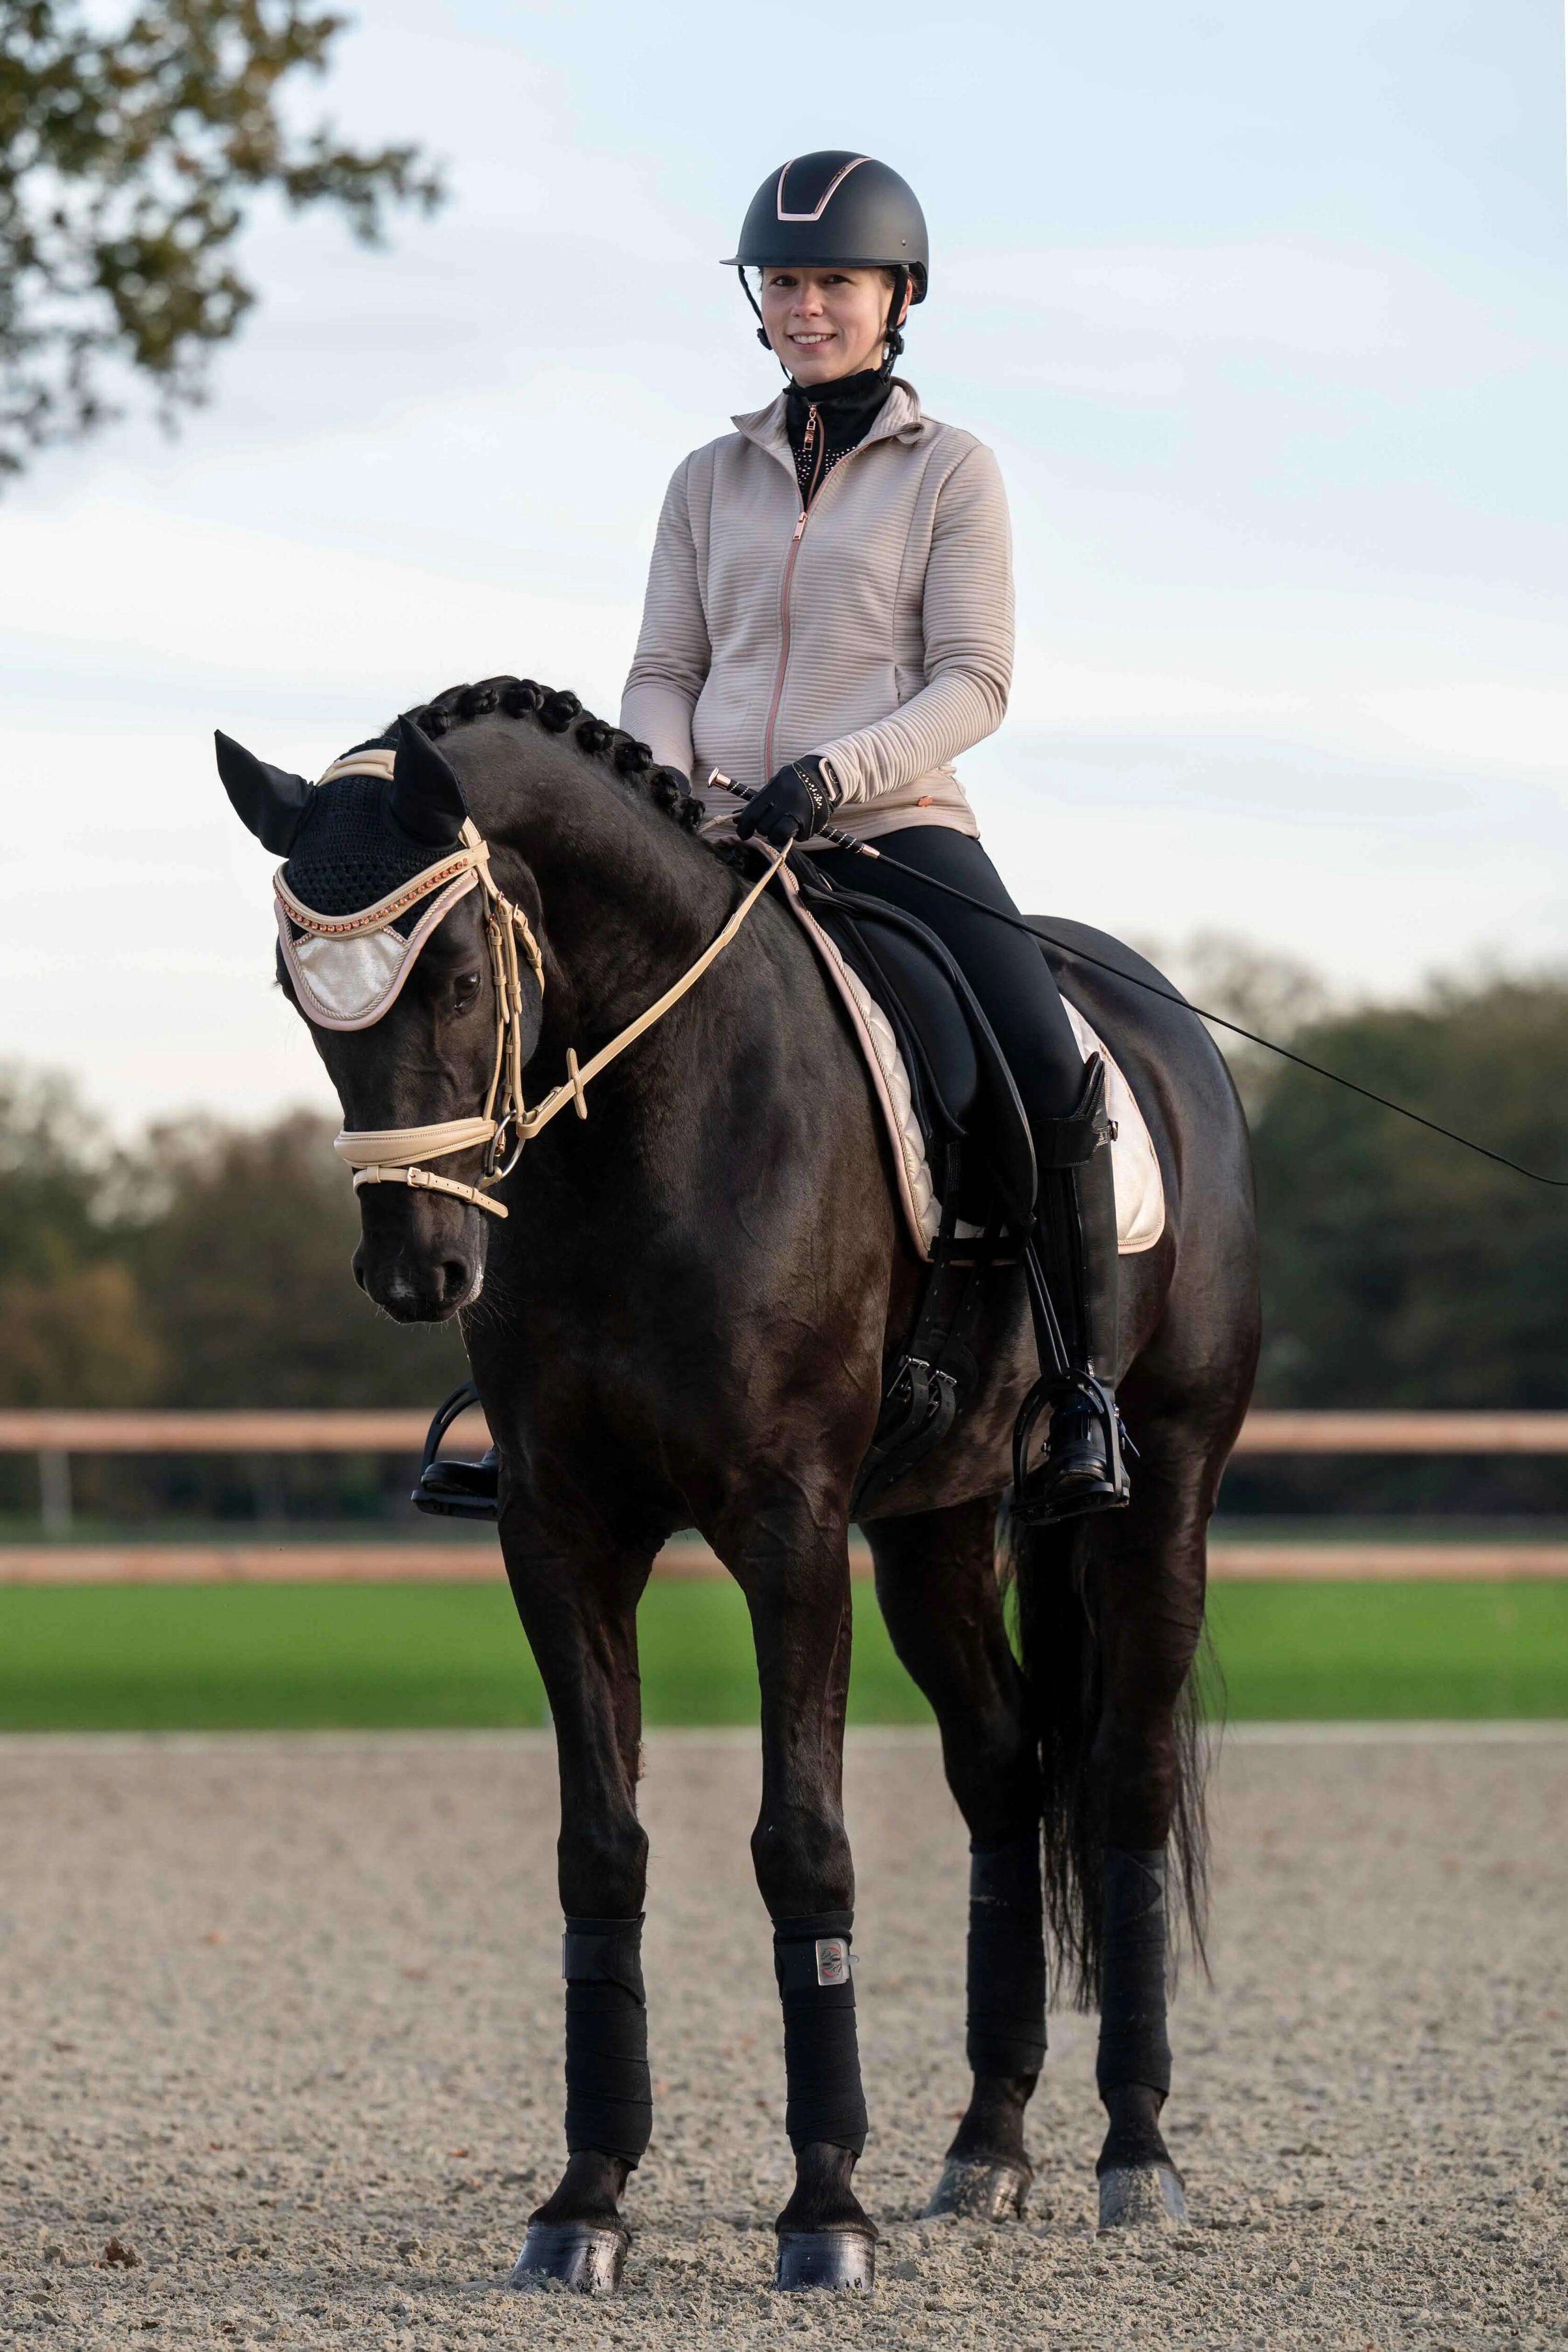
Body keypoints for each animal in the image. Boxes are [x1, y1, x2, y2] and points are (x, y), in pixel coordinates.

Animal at [215, 673, 1259, 2294]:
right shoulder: (561, 1533)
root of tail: (1165, 1025)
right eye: (295, 988)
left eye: (452, 974)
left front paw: (822, 2206)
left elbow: (801, 1844)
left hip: (1164, 1493)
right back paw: (986, 2146)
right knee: (1006, 1770)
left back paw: (1135, 2153)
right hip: (935, 1529)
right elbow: (599, 1851)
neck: (653, 1120)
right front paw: (584, 2199)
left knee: (1127, 1777)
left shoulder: (789, 1529)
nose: (415, 1271)